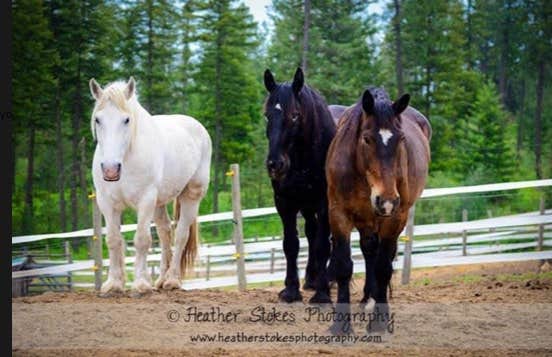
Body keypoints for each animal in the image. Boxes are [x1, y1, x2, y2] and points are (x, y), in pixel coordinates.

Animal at [89, 76, 212, 294]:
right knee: (165, 232)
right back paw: (161, 280)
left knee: (181, 234)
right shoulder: (107, 203)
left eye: (126, 120)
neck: (126, 159)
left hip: (190, 195)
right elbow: (113, 240)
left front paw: (140, 284)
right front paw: (113, 283)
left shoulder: (145, 200)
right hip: (158, 203)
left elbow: (141, 240)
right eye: (98, 119)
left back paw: (172, 280)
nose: (110, 169)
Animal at [264, 65, 336, 302]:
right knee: (311, 233)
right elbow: (291, 245)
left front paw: (322, 294)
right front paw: (291, 290)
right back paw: (311, 279)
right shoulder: (285, 203)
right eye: (267, 115)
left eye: (295, 115)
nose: (275, 164)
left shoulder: (325, 204)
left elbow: (323, 246)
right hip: (306, 206)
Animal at [326, 87, 430, 334]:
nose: (387, 200)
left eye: (401, 139)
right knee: (369, 251)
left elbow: (383, 267)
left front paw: (379, 322)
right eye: (366, 138)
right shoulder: (338, 214)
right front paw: (341, 325)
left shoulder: (394, 218)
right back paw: (367, 299)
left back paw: (373, 301)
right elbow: (344, 266)